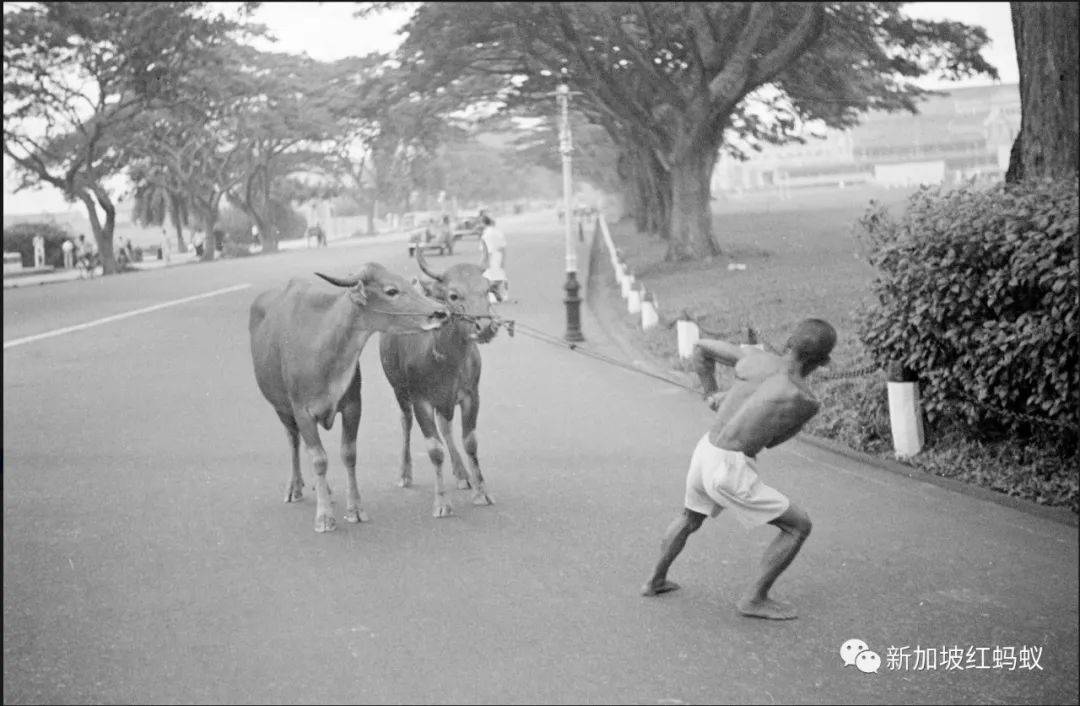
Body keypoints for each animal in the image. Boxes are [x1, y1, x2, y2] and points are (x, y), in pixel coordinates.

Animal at [248, 262, 447, 533]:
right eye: (391, 290)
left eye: (408, 283)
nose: (440, 312)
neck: (324, 352)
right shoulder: (302, 411)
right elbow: (319, 459)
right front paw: (324, 517)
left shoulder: (353, 406)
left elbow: (348, 454)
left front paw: (356, 509)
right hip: (281, 407)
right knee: (293, 440)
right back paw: (294, 487)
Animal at [378, 250, 498, 520]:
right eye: (453, 295)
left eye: (486, 289)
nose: (485, 327)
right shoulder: (420, 399)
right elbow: (434, 450)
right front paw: (442, 502)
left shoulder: (471, 395)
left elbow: (469, 441)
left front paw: (481, 492)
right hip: (399, 390)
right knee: (406, 422)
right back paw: (405, 474)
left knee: (445, 427)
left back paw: (462, 474)